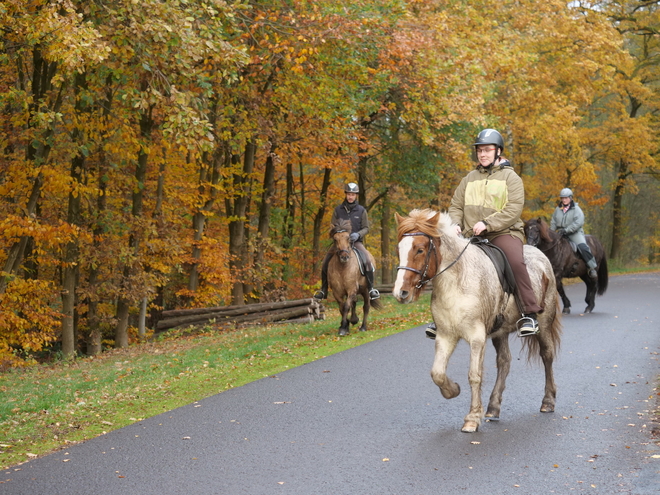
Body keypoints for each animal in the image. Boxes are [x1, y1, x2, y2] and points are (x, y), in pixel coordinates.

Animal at [392, 209, 564, 434]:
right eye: (399, 249)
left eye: (420, 250)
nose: (401, 293)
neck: (457, 281)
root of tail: (541, 256)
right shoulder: (446, 336)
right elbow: (437, 373)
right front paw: (453, 390)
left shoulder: (477, 337)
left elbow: (474, 375)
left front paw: (472, 418)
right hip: (500, 331)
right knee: (504, 362)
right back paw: (493, 407)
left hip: (543, 324)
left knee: (547, 356)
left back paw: (548, 401)